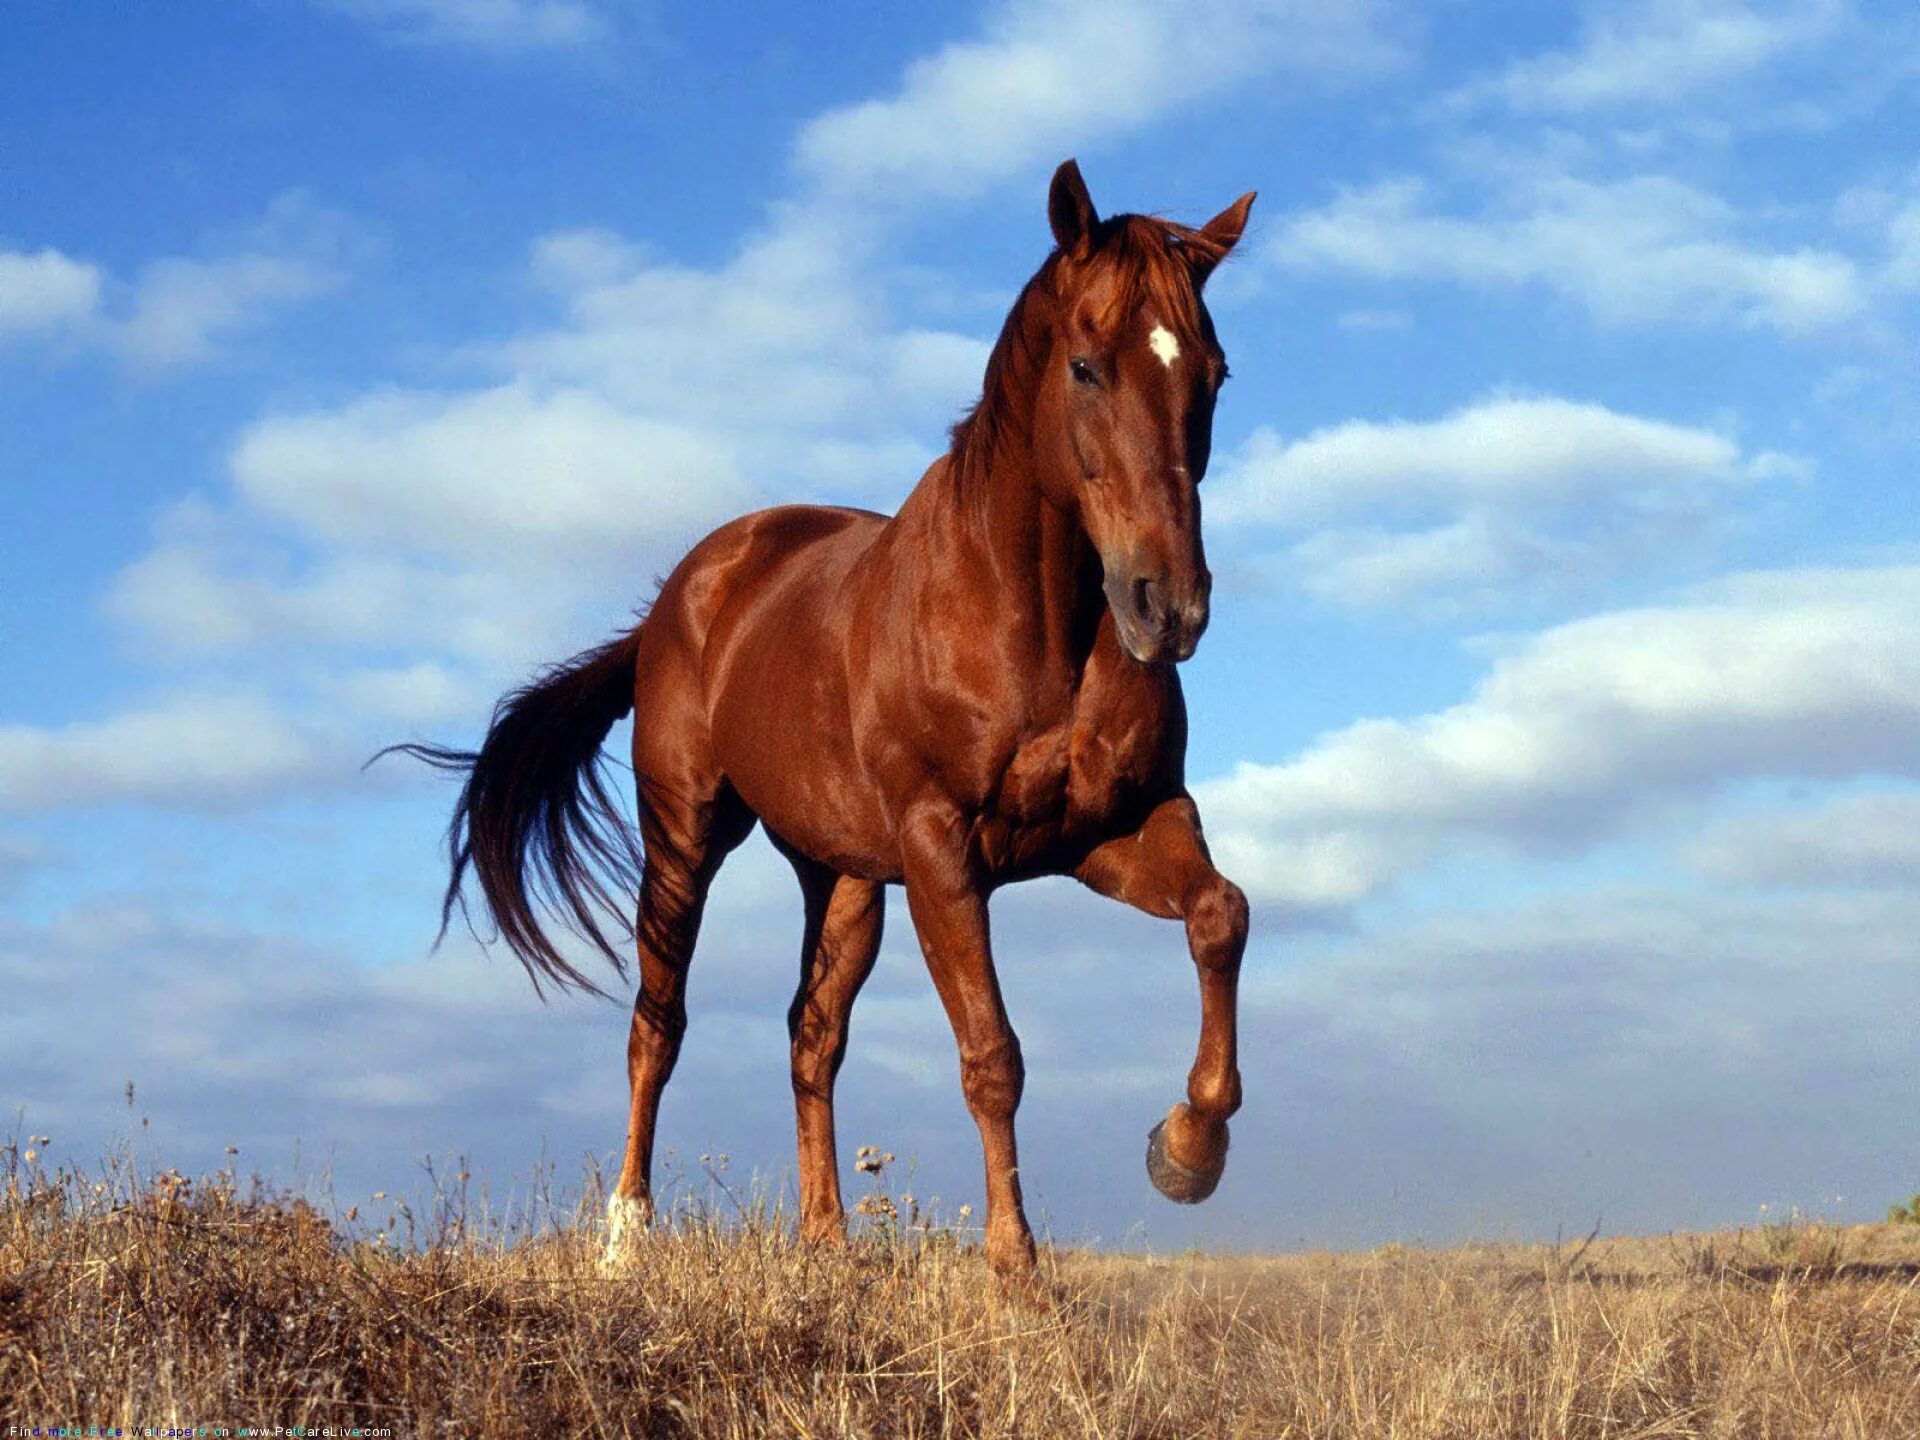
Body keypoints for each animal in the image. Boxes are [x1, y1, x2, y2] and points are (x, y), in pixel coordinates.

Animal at [391, 163, 1259, 1282]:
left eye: (1215, 373)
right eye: (1085, 366)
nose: (1169, 606)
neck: (1029, 621)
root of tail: (679, 599)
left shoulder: (1114, 830)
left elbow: (1220, 915)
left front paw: (1186, 1151)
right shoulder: (943, 850)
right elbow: (993, 1054)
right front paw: (1015, 1270)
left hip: (841, 876)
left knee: (811, 1035)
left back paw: (826, 1241)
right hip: (685, 838)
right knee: (657, 1026)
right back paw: (626, 1238)